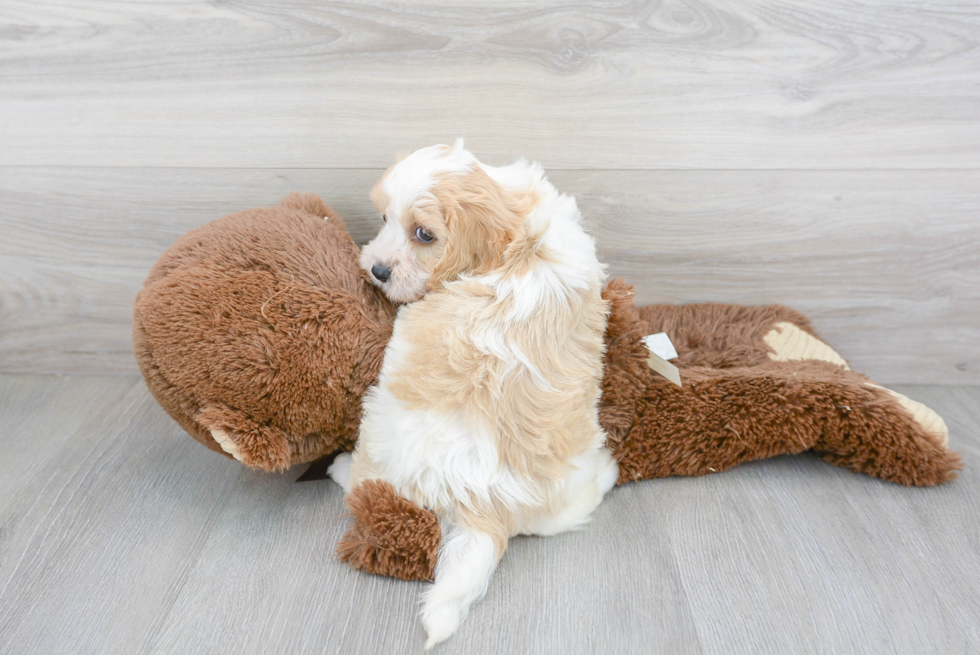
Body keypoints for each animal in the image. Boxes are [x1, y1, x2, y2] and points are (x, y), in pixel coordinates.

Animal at [334, 141, 616, 648]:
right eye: (384, 217)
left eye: (423, 234)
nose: (377, 271)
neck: (519, 237)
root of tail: (480, 504)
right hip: (565, 490)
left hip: (376, 433)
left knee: (365, 487)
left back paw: (339, 468)